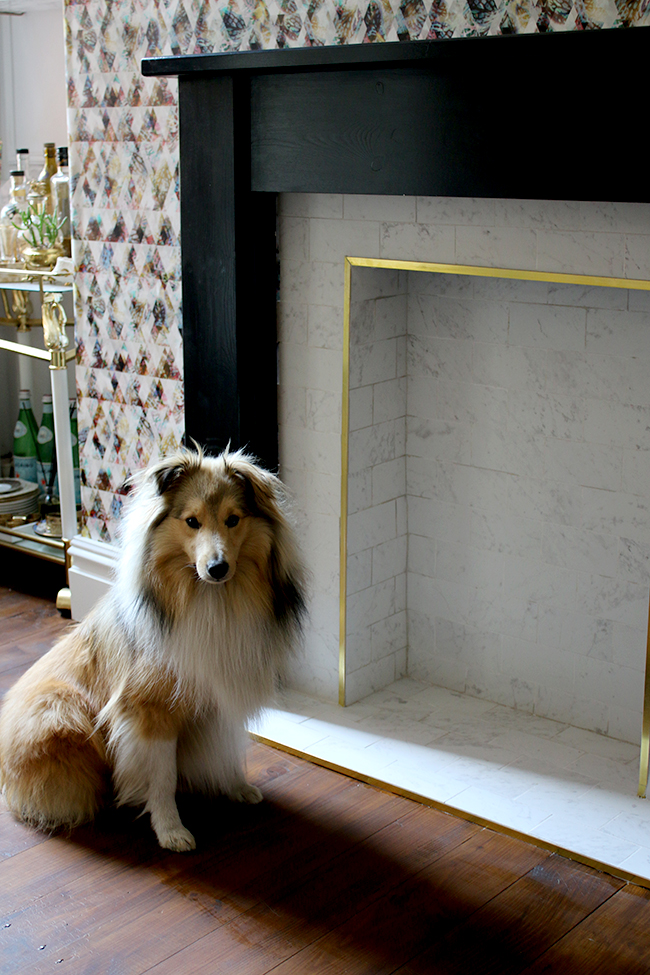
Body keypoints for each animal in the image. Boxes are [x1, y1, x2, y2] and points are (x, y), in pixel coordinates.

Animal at [0, 446, 306, 852]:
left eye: (233, 520)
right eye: (192, 521)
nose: (218, 568)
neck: (212, 602)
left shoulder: (217, 696)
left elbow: (224, 752)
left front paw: (236, 787)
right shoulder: (150, 712)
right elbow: (162, 778)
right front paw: (171, 830)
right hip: (62, 709)